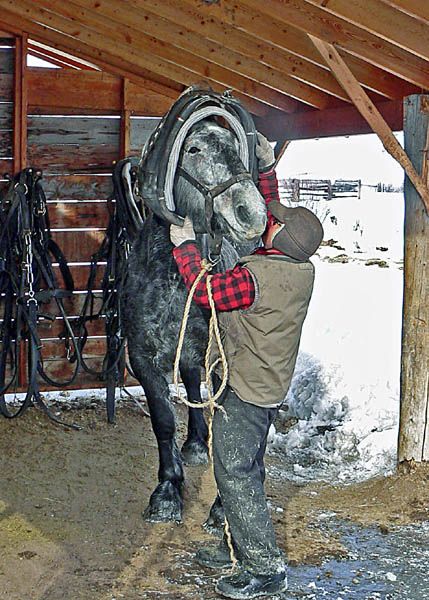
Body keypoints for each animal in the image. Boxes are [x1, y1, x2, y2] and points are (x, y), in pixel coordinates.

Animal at [121, 119, 264, 524]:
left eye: (235, 143)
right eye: (193, 149)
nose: (251, 212)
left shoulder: (225, 365)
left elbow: (232, 435)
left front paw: (224, 507)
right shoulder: (143, 357)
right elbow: (164, 421)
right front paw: (168, 491)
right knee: (191, 383)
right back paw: (195, 444)